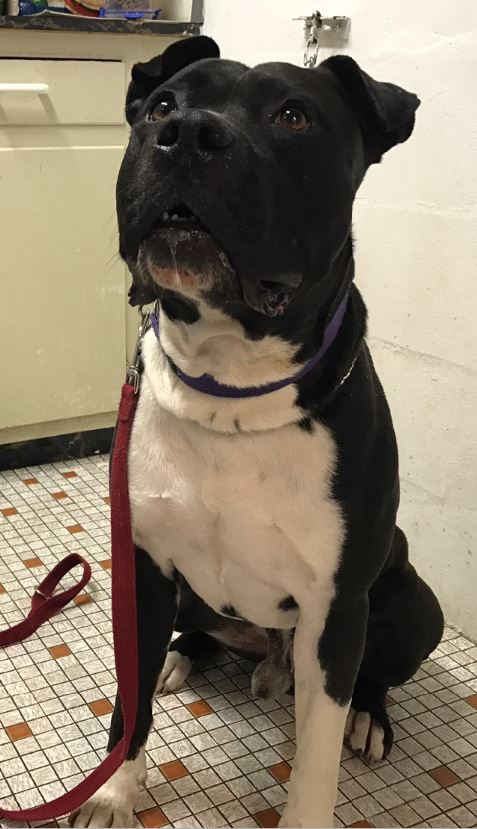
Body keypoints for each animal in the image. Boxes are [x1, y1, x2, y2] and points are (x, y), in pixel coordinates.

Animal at [70, 36, 444, 828]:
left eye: (293, 117)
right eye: (161, 107)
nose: (186, 135)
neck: (230, 387)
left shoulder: (336, 610)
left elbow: (315, 761)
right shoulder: (142, 564)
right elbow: (128, 703)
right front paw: (115, 789)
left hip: (405, 604)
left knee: (372, 677)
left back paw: (369, 716)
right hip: (187, 592)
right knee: (190, 637)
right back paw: (179, 655)